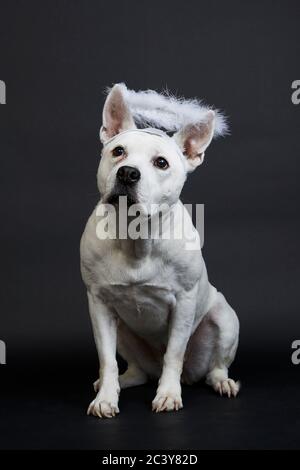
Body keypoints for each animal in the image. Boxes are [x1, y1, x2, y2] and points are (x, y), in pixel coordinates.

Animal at [81, 84, 240, 418]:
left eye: (161, 163)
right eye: (118, 152)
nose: (127, 173)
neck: (136, 236)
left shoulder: (184, 303)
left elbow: (174, 354)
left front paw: (168, 394)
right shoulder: (99, 304)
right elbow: (106, 359)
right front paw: (105, 397)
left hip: (224, 318)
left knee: (213, 367)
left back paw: (222, 382)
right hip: (124, 332)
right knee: (134, 370)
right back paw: (117, 382)